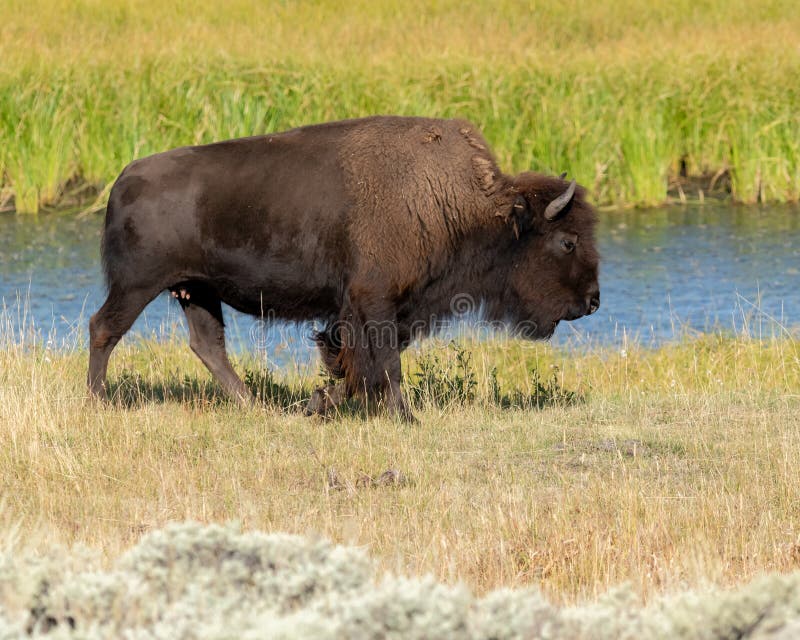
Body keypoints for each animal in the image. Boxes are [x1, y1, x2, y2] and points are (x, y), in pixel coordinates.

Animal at [89, 115, 600, 420]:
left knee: (207, 344)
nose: (593, 301)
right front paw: (404, 416)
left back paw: (253, 405)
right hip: (138, 285)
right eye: (567, 241)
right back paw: (98, 399)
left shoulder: (381, 308)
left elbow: (348, 361)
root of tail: (122, 180)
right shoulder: (376, 300)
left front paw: (319, 403)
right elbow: (385, 362)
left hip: (196, 290)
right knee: (105, 328)